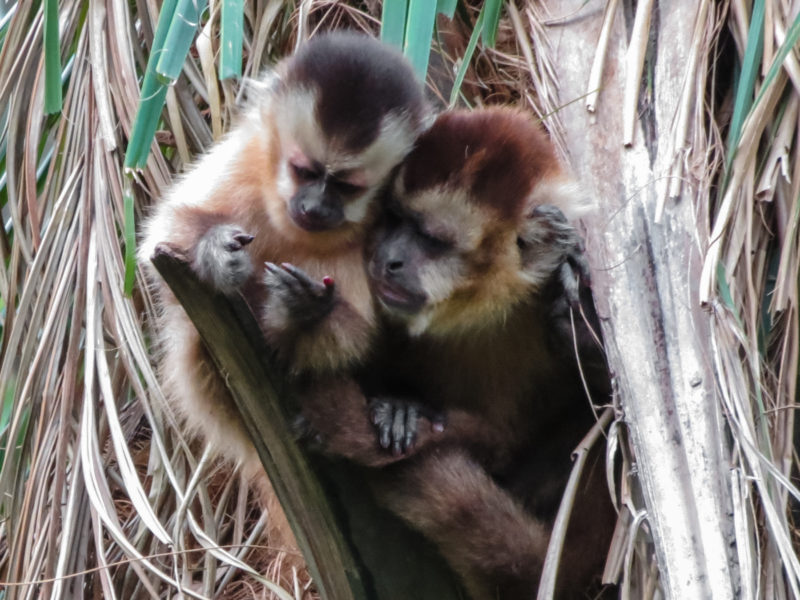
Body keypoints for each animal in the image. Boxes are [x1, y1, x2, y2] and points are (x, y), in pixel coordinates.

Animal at [138, 31, 428, 556]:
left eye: (346, 186)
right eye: (305, 171)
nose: (314, 207)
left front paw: (305, 311)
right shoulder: (244, 158)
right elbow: (163, 241)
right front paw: (215, 252)